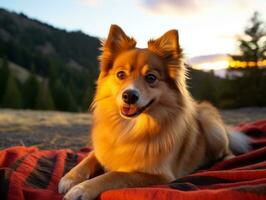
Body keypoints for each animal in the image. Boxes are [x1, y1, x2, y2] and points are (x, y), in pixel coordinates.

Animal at [57, 24, 249, 199]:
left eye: (151, 78)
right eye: (120, 75)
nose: (129, 95)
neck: (129, 128)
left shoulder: (158, 175)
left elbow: (113, 175)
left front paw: (81, 190)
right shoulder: (103, 151)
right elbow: (88, 158)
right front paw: (70, 178)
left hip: (209, 121)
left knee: (226, 150)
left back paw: (227, 159)